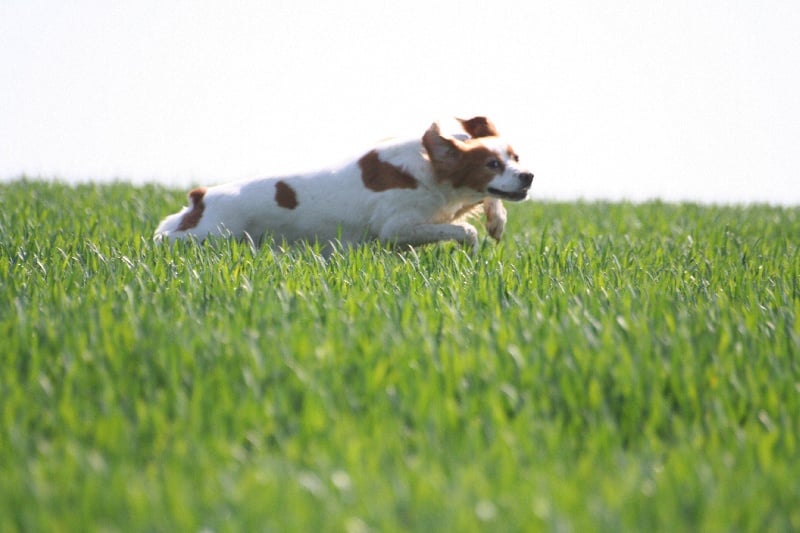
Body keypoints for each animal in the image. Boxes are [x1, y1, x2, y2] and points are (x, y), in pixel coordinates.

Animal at [154, 116, 533, 252]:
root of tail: (200, 198)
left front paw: (496, 221)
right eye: (491, 164)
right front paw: (472, 247)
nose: (528, 176)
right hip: (207, 236)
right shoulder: (396, 227)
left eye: (515, 157)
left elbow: (486, 204)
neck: (428, 168)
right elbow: (463, 231)